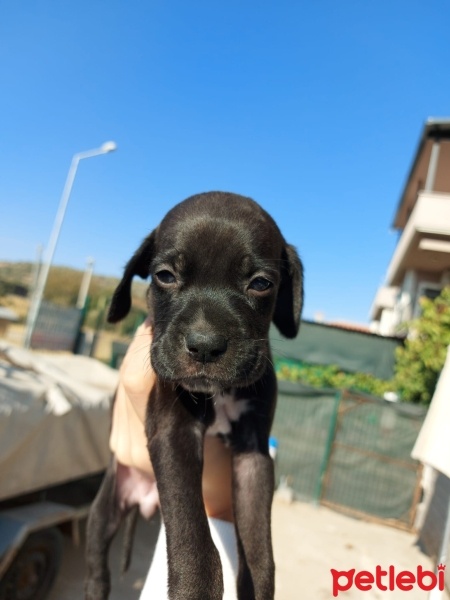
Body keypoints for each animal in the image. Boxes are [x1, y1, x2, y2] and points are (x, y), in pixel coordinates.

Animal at [85, 193, 302, 600]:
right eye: (165, 276)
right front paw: (194, 590)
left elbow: (259, 552)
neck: (220, 394)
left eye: (260, 283)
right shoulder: (174, 433)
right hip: (104, 510)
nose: (204, 346)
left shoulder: (254, 454)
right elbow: (193, 539)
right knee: (96, 564)